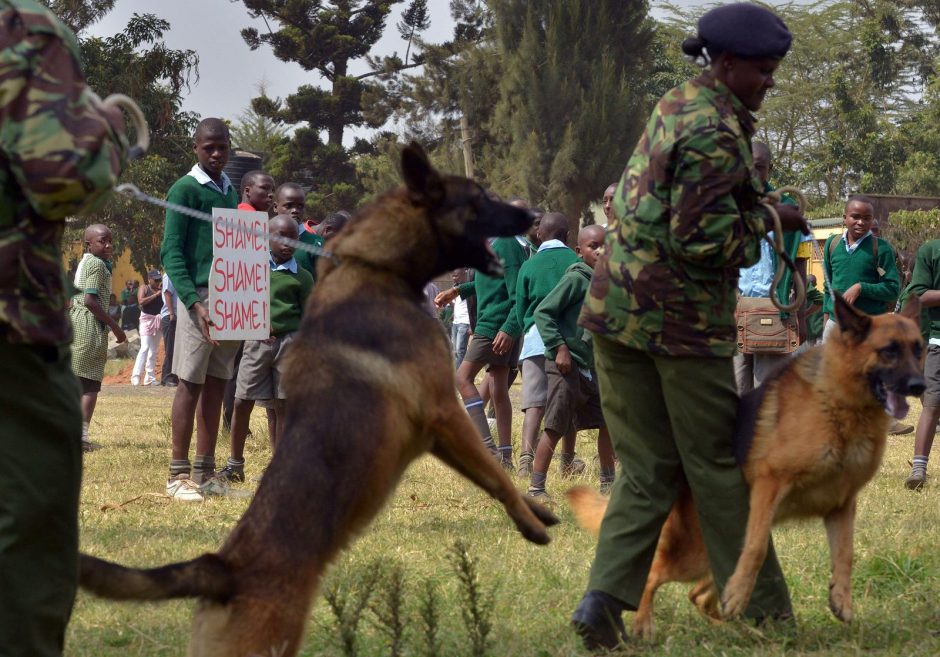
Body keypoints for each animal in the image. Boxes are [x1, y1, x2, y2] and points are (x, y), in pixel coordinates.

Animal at [79, 145, 560, 656]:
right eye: (480, 198)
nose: (533, 216)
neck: (374, 267)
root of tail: (221, 568)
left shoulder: (436, 433)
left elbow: (488, 477)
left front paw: (536, 510)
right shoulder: (444, 411)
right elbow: (497, 476)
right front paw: (531, 519)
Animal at [564, 294, 924, 640]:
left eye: (919, 349)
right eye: (889, 351)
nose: (919, 386)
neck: (839, 401)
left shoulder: (841, 505)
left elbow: (844, 554)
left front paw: (841, 599)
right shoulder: (770, 484)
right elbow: (756, 548)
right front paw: (740, 593)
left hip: (707, 558)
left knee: (698, 595)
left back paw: (735, 628)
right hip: (693, 554)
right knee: (653, 575)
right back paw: (644, 623)